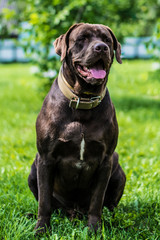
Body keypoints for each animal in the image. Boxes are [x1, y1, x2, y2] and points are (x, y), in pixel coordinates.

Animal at [27, 23, 126, 233]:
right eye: (82, 39)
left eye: (107, 40)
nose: (101, 48)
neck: (83, 101)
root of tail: (74, 211)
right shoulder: (45, 159)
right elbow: (44, 201)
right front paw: (41, 229)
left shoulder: (105, 160)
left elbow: (97, 201)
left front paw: (94, 229)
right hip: (32, 170)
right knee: (52, 204)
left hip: (118, 169)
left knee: (110, 204)